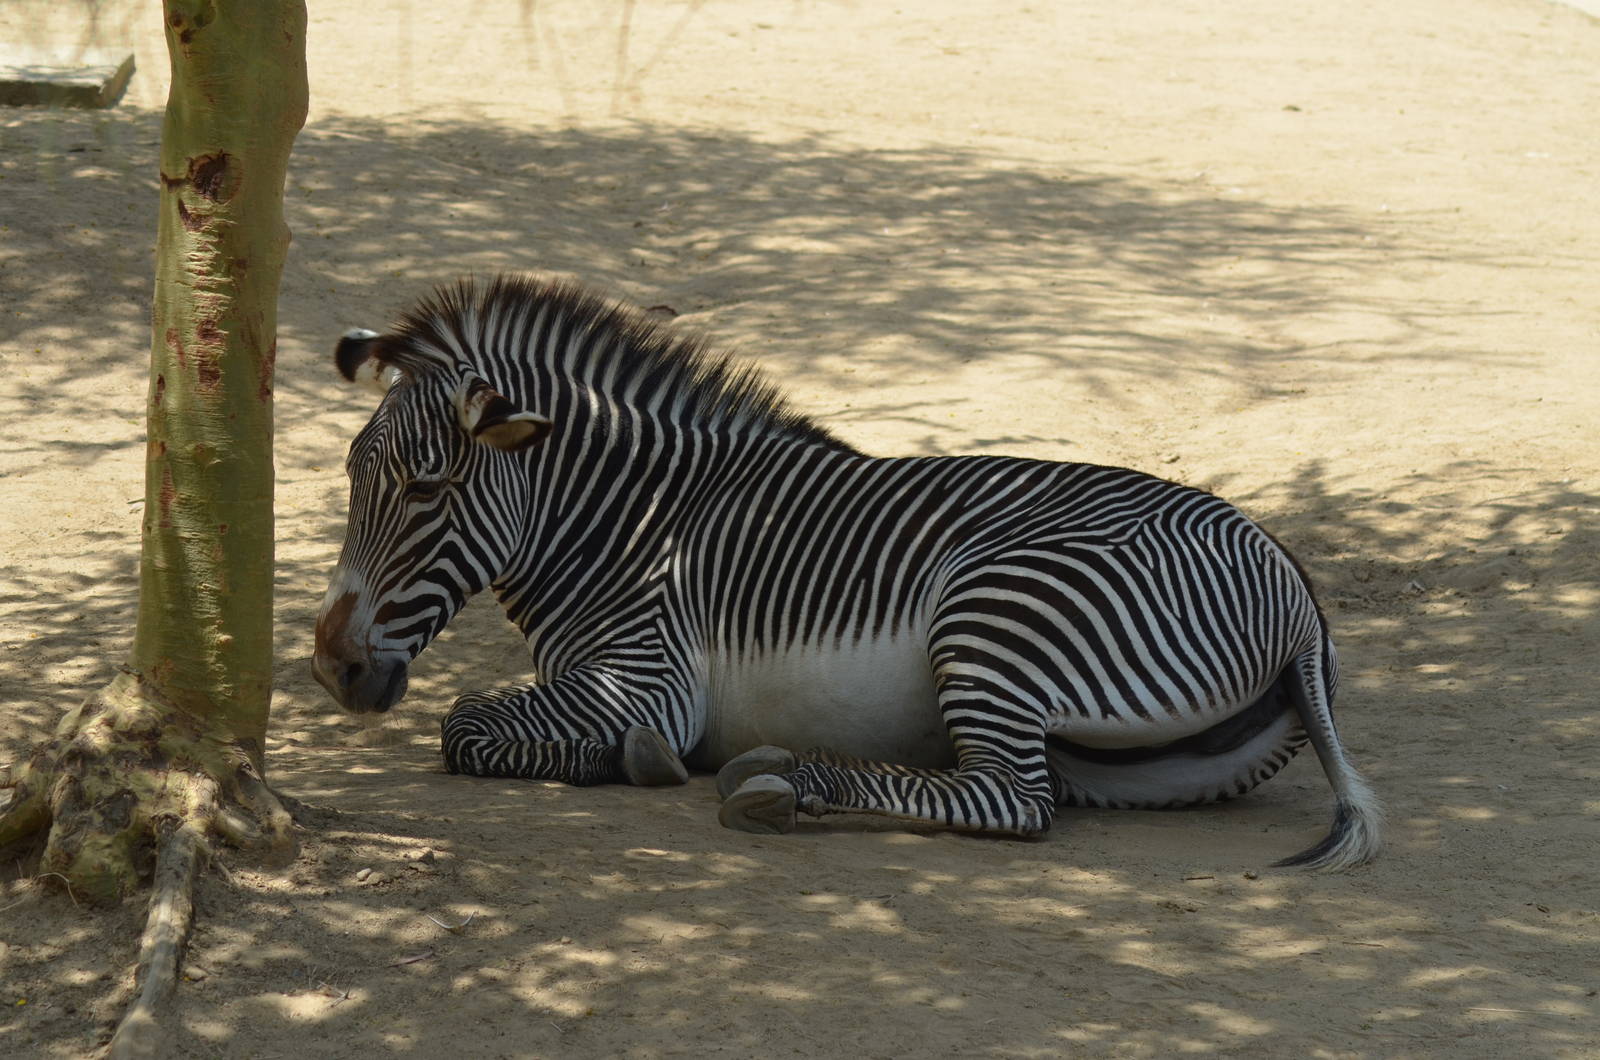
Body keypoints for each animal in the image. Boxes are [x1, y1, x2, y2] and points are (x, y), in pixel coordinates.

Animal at [312, 274, 1383, 870]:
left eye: (426, 488)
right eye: (351, 475)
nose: (331, 668)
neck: (633, 526)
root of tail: (1296, 595)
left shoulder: (646, 683)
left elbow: (464, 727)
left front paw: (635, 762)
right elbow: (474, 725)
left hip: (993, 613)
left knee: (1014, 801)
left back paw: (784, 784)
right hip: (1131, 761)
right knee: (1015, 783)